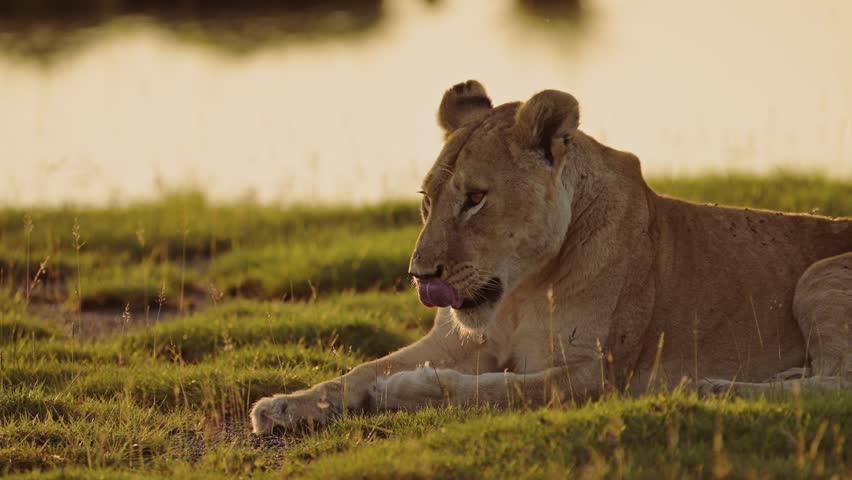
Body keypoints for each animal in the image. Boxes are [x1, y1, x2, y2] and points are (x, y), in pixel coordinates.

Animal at [251, 80, 852, 434]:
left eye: (475, 199)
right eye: (426, 199)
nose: (420, 276)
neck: (521, 292)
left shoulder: (594, 374)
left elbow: (499, 390)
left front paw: (402, 391)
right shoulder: (457, 340)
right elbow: (360, 368)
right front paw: (282, 405)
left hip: (819, 275)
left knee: (838, 384)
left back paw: (715, 388)